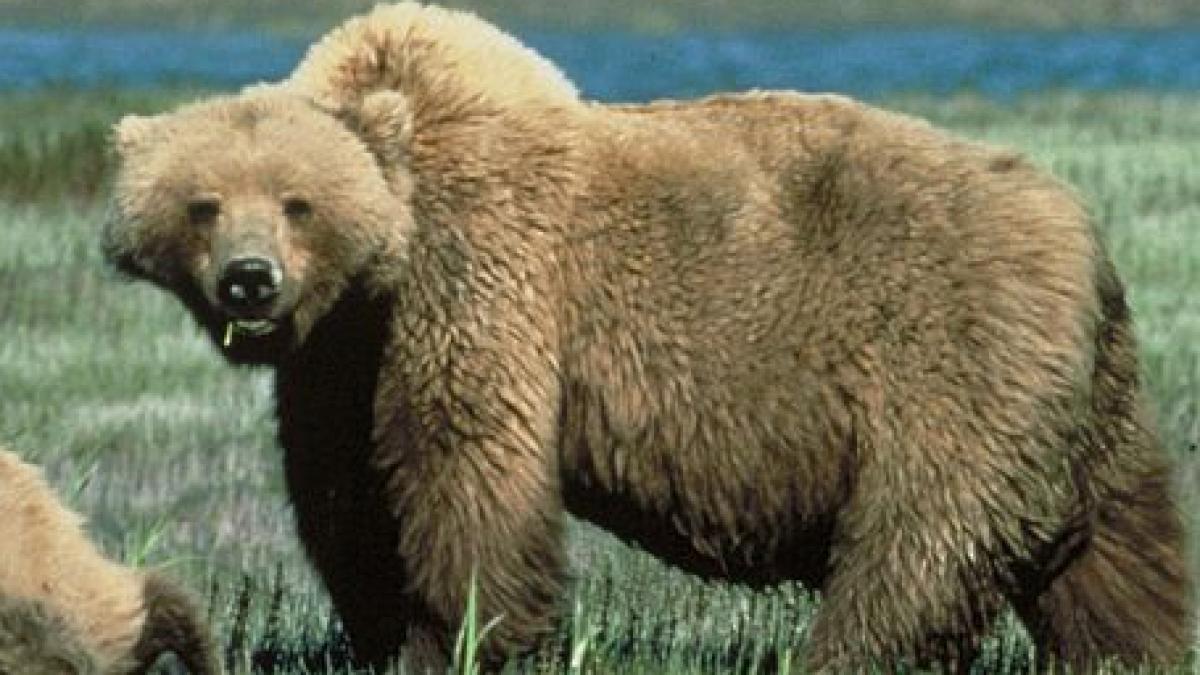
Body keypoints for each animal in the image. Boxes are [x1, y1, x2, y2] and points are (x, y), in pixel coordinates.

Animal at [102, 2, 1194, 672]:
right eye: (202, 204)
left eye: (299, 202)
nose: (251, 280)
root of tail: (1082, 232)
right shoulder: (339, 357)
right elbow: (346, 495)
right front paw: (383, 628)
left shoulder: (480, 284)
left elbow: (466, 473)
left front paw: (467, 635)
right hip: (1082, 398)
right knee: (1116, 548)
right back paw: (1140, 646)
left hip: (947, 359)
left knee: (916, 549)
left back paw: (841, 650)